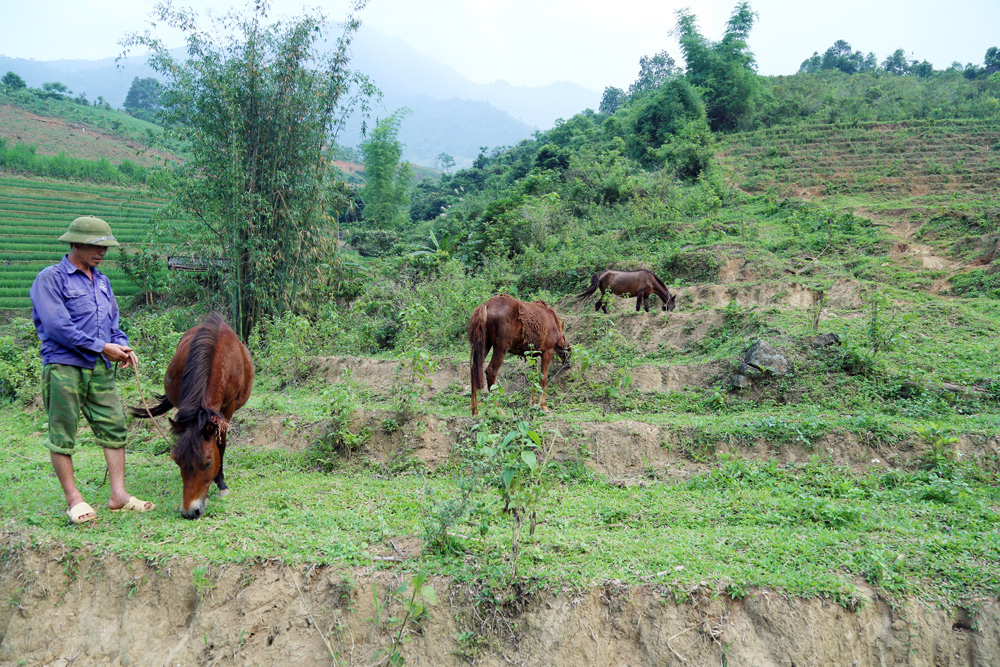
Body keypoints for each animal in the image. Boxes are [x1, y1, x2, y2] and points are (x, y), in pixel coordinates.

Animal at [131, 314, 254, 520]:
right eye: (177, 462)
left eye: (207, 464)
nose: (189, 512)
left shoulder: (228, 410)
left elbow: (221, 445)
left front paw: (221, 484)